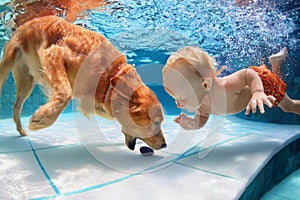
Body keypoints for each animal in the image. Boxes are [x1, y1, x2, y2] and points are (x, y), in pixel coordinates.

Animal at [0, 15, 166, 150]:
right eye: (155, 123)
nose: (165, 145)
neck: (108, 74)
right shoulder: (54, 54)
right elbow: (65, 94)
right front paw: (42, 118)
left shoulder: (92, 101)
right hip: (7, 62)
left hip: (26, 82)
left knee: (16, 106)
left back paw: (21, 130)